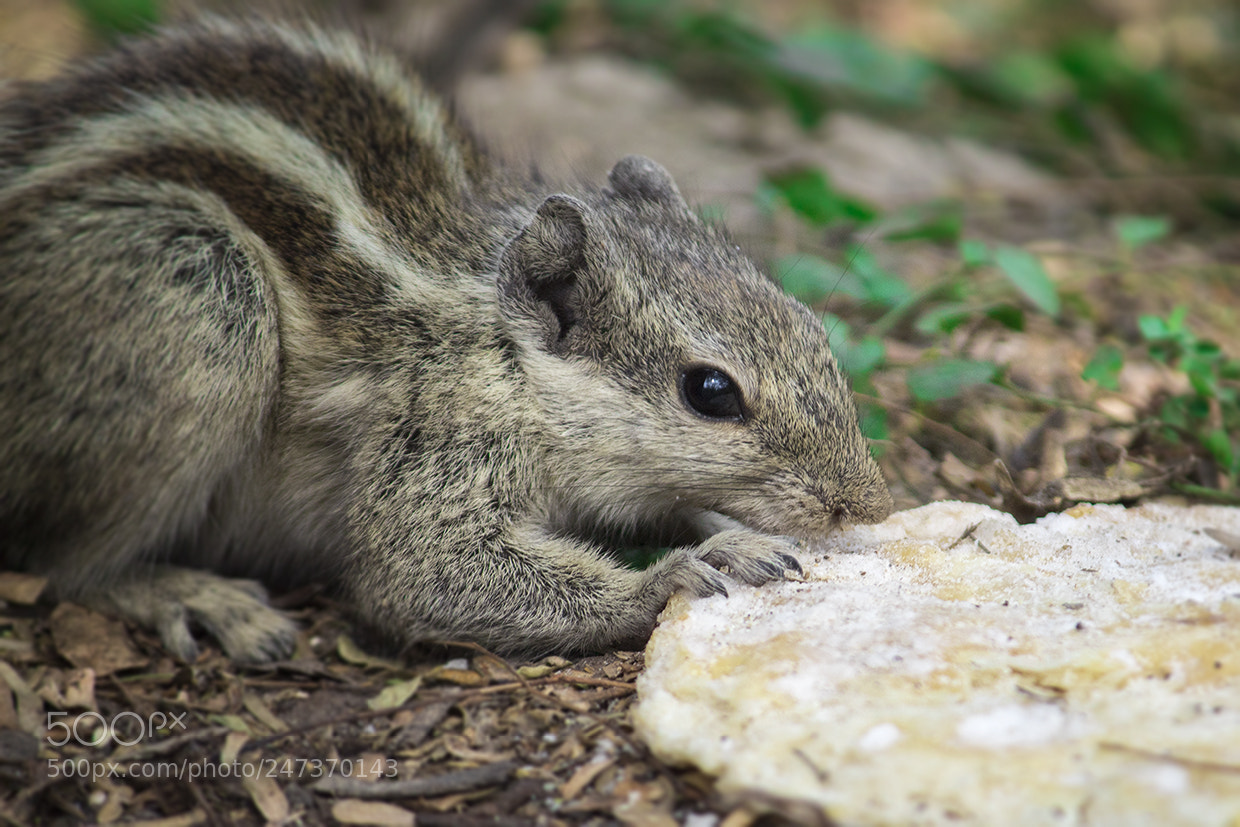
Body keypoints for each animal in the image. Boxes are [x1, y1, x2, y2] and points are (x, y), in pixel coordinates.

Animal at [0, 18, 893, 662]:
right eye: (711, 392)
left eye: (810, 327)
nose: (870, 504)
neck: (506, 355)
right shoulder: (436, 439)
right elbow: (424, 573)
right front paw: (679, 572)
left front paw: (729, 533)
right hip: (194, 297)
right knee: (66, 564)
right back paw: (194, 596)